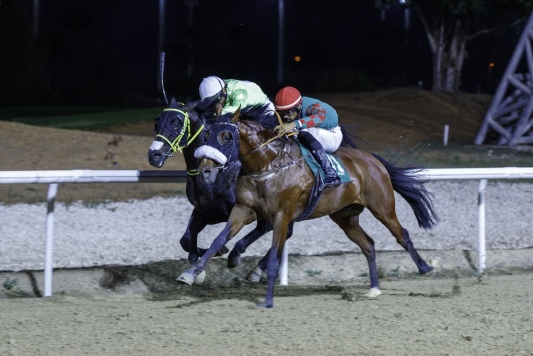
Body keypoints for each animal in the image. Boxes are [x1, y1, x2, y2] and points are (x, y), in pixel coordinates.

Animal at [181, 107, 438, 308]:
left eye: (226, 137)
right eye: (206, 134)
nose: (206, 171)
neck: (267, 165)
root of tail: (373, 159)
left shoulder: (282, 216)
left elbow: (274, 259)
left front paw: (267, 300)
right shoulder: (243, 209)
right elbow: (218, 240)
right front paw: (191, 273)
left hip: (382, 207)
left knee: (402, 235)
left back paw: (425, 267)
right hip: (345, 216)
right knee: (368, 245)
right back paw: (374, 288)